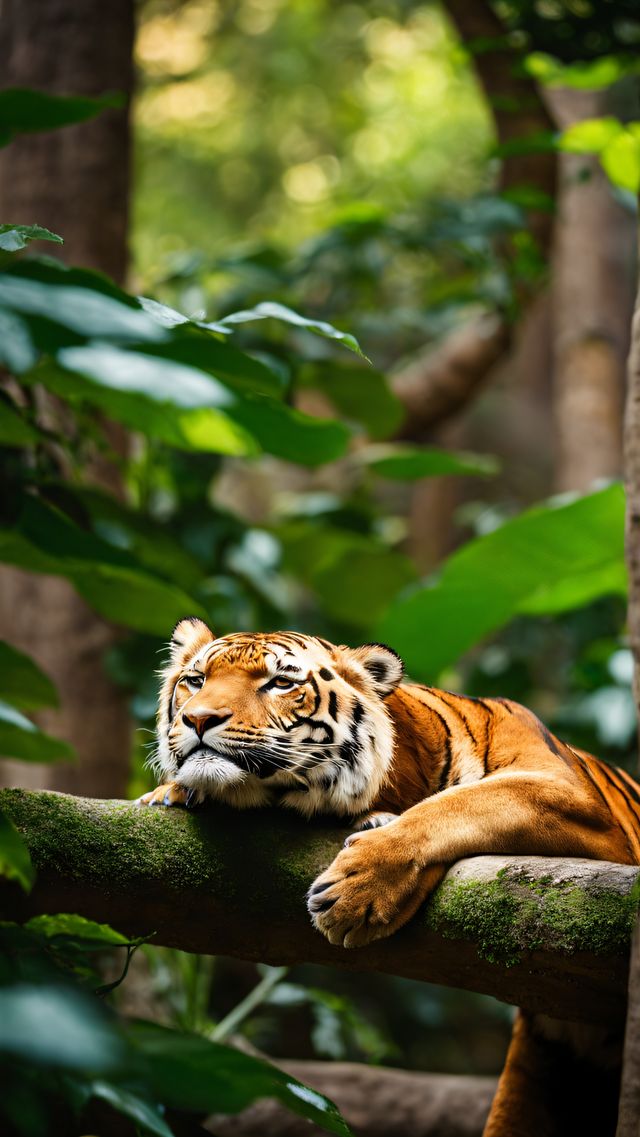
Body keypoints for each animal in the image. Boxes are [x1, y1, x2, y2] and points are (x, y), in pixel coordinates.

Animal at [139, 623, 640, 1137]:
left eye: (279, 683)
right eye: (196, 681)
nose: (198, 719)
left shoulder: (573, 796)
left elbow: (460, 803)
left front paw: (356, 890)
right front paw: (169, 793)